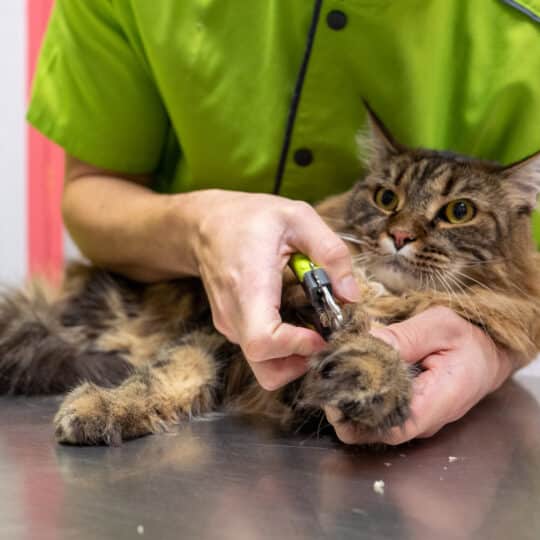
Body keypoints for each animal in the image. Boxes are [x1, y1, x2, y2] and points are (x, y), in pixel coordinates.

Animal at [1, 106, 540, 448]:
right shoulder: (220, 337)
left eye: (459, 212)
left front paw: (370, 376)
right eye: (386, 198)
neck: (383, 297)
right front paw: (103, 409)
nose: (400, 234)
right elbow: (168, 374)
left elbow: (374, 349)